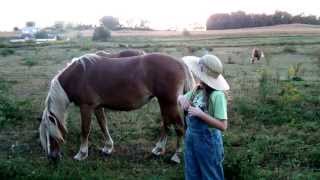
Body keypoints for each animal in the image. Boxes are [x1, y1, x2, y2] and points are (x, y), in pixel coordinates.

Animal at [38, 52, 194, 163]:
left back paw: (176, 156)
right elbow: (103, 125)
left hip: (170, 103)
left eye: (50, 134)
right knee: (167, 124)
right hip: (164, 102)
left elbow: (85, 130)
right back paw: (158, 149)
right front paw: (108, 147)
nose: (52, 157)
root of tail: (180, 63)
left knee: (179, 127)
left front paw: (81, 154)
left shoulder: (86, 107)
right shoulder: (97, 107)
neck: (78, 75)